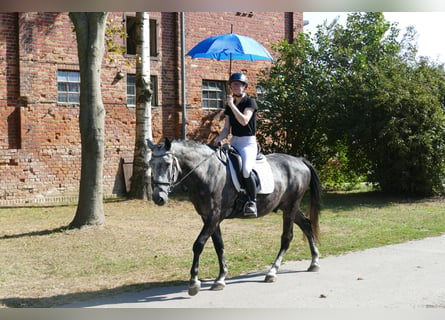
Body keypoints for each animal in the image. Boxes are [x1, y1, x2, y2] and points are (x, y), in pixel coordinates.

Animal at [147, 139, 320, 296]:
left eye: (167, 164)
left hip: (291, 207)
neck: (207, 172)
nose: (158, 198)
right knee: (306, 224)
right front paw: (220, 279)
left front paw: (194, 283)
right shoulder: (208, 217)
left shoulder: (214, 216)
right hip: (288, 207)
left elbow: (198, 244)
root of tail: (300, 160)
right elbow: (219, 245)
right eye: (151, 164)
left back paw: (272, 272)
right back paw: (314, 262)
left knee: (287, 237)